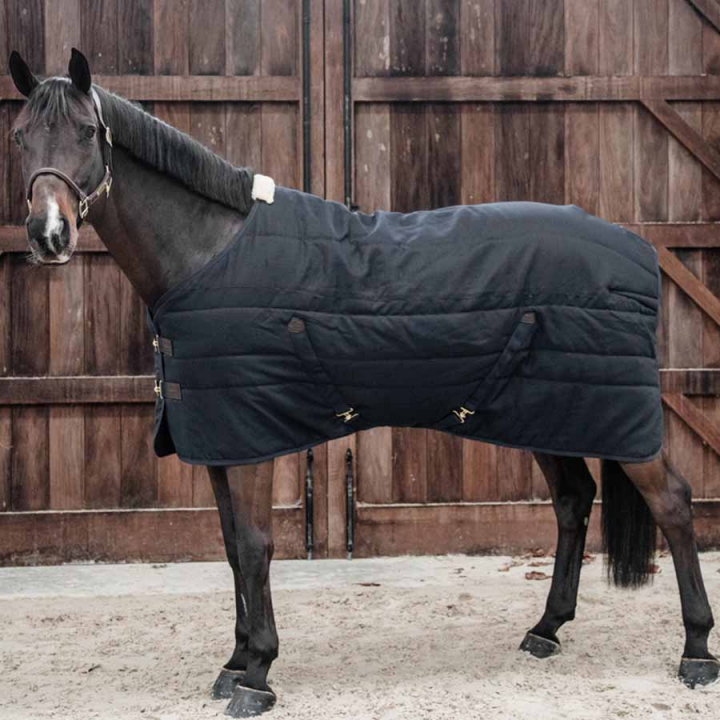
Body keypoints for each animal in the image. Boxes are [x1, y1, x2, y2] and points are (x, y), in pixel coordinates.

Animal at [8, 48, 718, 718]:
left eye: (84, 131)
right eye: (19, 136)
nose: (48, 235)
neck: (208, 255)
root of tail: (637, 248)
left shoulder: (251, 440)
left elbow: (256, 547)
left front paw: (257, 675)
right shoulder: (218, 440)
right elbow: (232, 551)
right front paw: (233, 664)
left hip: (613, 418)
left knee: (674, 503)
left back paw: (695, 652)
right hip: (551, 411)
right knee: (573, 500)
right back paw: (546, 629)